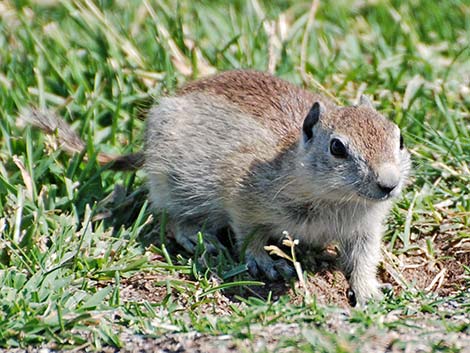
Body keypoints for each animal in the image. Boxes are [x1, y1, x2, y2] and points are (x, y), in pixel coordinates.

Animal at [22, 69, 412, 306]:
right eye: (337, 148)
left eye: (400, 138)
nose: (389, 184)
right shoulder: (243, 199)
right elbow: (250, 236)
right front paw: (267, 264)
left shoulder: (365, 230)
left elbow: (363, 260)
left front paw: (370, 293)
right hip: (177, 189)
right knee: (173, 220)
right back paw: (203, 241)